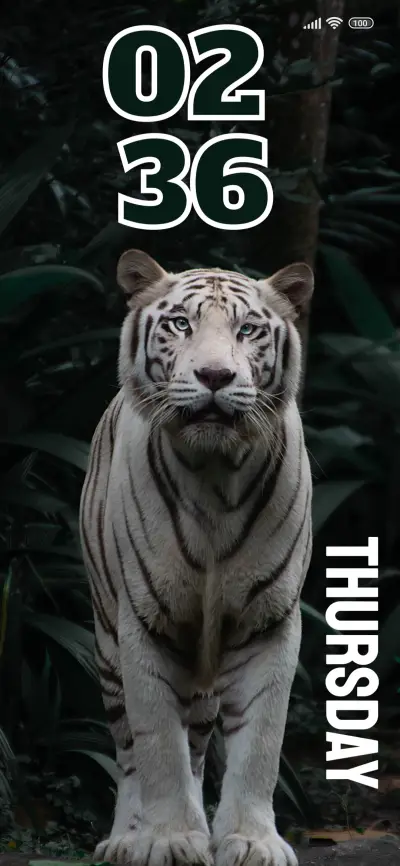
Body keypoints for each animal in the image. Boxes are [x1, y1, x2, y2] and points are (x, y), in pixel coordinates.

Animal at [79, 249, 314, 866]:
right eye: (181, 324)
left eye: (248, 329)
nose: (214, 376)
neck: (215, 476)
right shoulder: (144, 621)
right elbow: (158, 744)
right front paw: (168, 839)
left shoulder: (270, 621)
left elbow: (260, 743)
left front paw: (251, 841)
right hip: (107, 641)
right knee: (130, 750)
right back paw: (126, 838)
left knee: (201, 739)